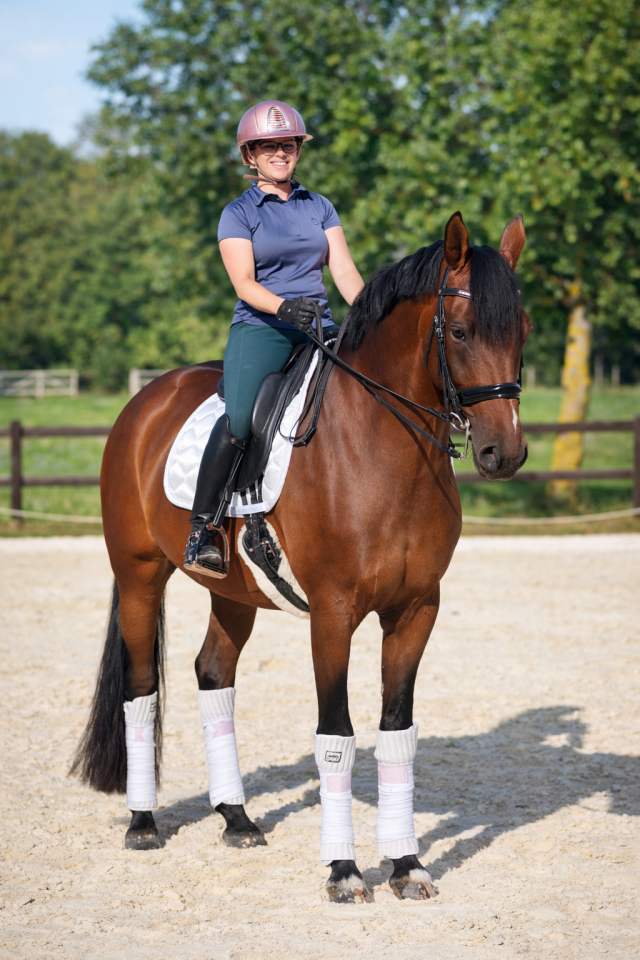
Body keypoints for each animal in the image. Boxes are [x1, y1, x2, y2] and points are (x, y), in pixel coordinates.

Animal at [72, 211, 530, 903]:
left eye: (521, 330)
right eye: (459, 330)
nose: (505, 454)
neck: (380, 448)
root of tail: (147, 399)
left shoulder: (416, 610)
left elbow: (397, 735)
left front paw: (406, 865)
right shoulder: (333, 614)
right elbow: (336, 737)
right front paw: (344, 871)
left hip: (232, 591)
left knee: (214, 674)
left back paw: (236, 819)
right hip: (138, 576)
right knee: (141, 688)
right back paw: (144, 823)